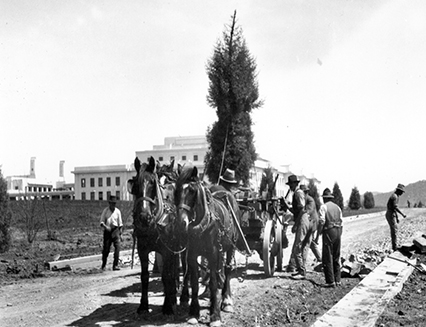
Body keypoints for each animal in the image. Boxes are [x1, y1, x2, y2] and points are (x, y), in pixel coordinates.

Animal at [130, 158, 183, 316]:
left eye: (153, 184)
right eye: (135, 185)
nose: (143, 217)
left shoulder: (166, 250)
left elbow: (166, 275)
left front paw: (168, 306)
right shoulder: (142, 249)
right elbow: (145, 277)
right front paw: (143, 305)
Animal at [174, 168, 243, 326]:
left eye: (192, 191)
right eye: (177, 190)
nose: (181, 223)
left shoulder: (213, 254)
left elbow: (212, 282)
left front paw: (215, 315)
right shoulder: (192, 254)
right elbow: (194, 282)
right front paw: (194, 312)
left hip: (230, 246)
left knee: (227, 269)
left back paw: (226, 299)